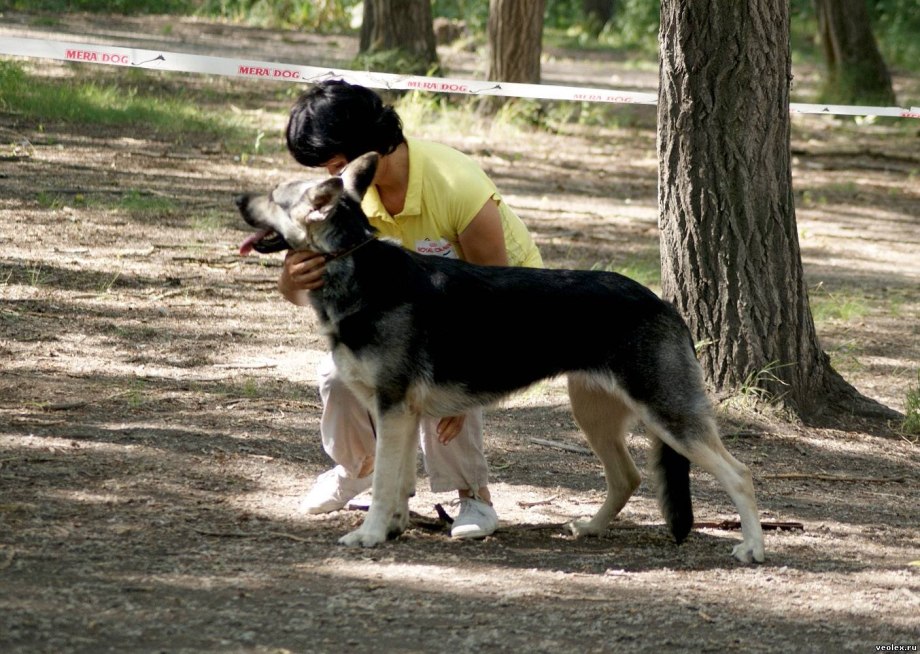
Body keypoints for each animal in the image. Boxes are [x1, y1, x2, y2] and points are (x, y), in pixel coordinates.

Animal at [234, 152, 764, 564]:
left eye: (273, 195)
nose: (238, 199)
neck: (353, 265)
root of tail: (664, 304)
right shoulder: (400, 417)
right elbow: (399, 482)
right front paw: (393, 529)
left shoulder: (393, 411)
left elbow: (384, 483)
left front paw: (369, 536)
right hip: (594, 416)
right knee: (627, 477)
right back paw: (591, 528)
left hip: (668, 418)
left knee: (739, 474)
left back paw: (753, 548)